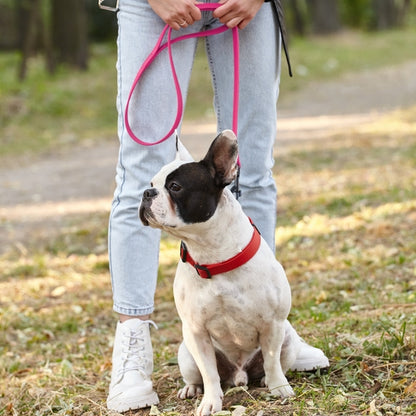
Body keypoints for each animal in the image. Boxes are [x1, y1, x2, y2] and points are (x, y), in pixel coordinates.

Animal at [140, 131, 328, 416]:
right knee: (199, 375)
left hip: (288, 339)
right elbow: (209, 373)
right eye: (151, 183)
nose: (146, 193)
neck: (212, 255)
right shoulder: (196, 332)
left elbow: (271, 361)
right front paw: (211, 401)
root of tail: (239, 375)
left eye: (175, 187)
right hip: (186, 352)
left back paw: (267, 381)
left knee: (275, 364)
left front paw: (279, 389)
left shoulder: (272, 324)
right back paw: (191, 389)